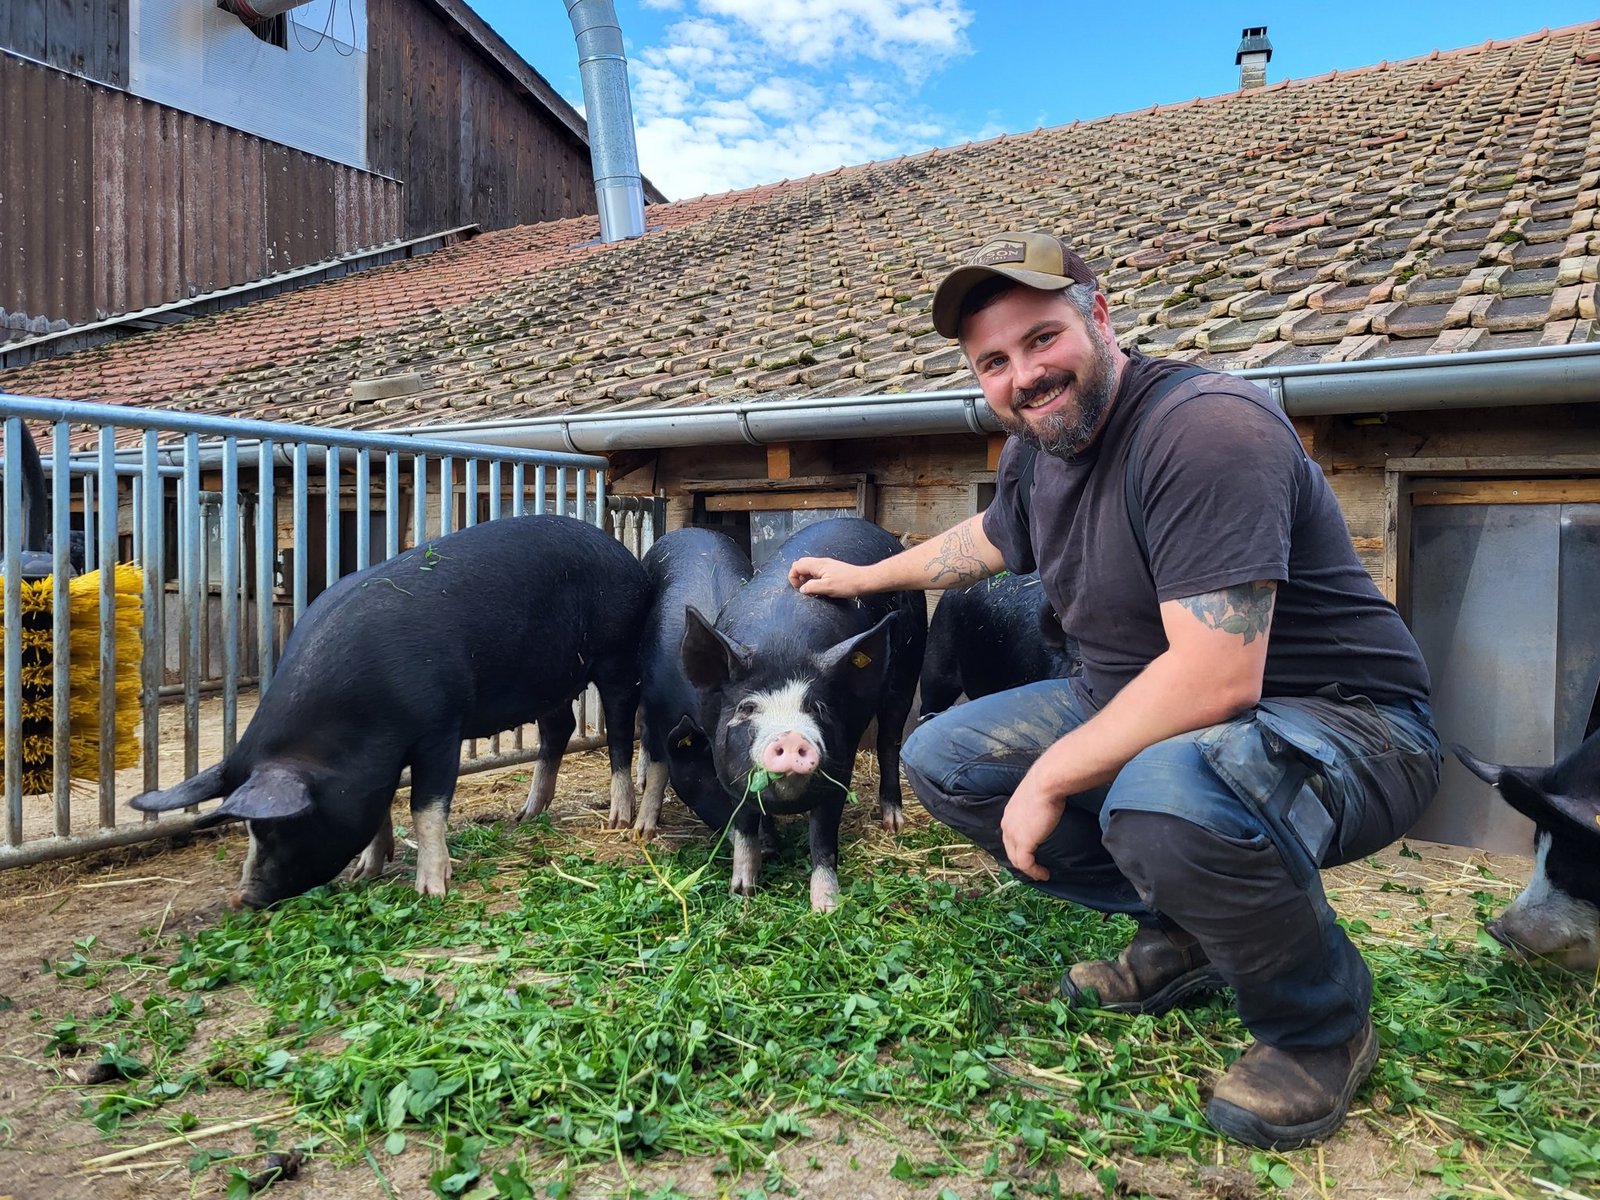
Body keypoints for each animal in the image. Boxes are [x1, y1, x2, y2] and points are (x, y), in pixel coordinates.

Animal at [131, 514, 648, 907]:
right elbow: (380, 807)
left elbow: (425, 807)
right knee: (558, 728)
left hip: (618, 657)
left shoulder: (440, 728)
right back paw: (525, 815)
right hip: (550, 680)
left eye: (278, 828)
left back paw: (619, 819)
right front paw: (366, 872)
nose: (242, 900)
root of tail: (622, 554)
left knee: (621, 733)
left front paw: (432, 891)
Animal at [633, 527, 753, 839]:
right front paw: (643, 832)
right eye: (720, 782)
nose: (773, 845)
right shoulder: (656, 703)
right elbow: (660, 766)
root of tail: (690, 529)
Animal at [681, 516, 926, 911]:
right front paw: (743, 892)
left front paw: (826, 908)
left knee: (890, 741)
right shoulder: (729, 777)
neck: (782, 646)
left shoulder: (839, 771)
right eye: (747, 708)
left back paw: (893, 822)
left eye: (817, 707)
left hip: (909, 665)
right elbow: (745, 827)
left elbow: (823, 840)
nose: (792, 737)